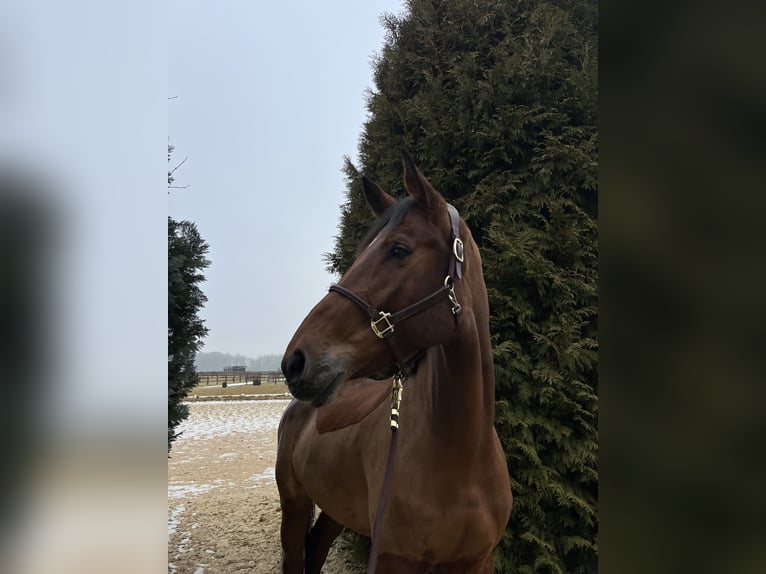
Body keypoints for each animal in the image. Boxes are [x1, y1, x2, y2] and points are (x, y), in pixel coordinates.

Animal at [276, 153, 512, 573]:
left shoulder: (477, 561)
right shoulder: (392, 558)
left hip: (336, 511)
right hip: (295, 505)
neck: (463, 458)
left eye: (398, 250)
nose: (296, 362)